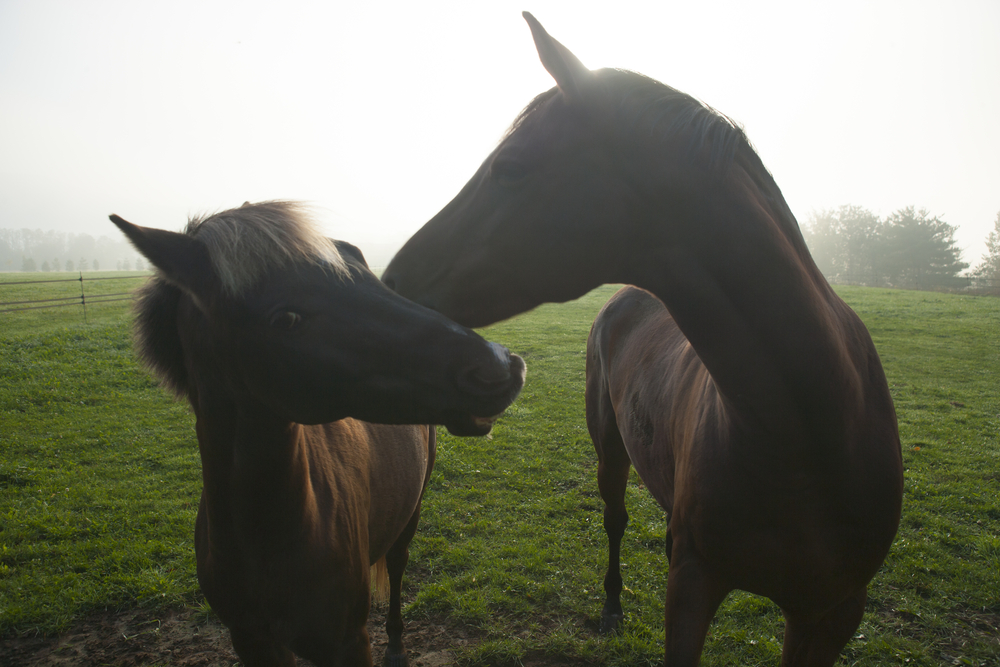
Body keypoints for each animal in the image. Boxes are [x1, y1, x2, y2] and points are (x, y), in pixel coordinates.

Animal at [113, 202, 528, 667]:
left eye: (368, 279)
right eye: (286, 318)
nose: (499, 366)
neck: (267, 536)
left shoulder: (347, 641)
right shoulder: (252, 641)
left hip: (410, 517)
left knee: (397, 568)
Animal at [378, 14, 904, 667]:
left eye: (511, 166)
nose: (391, 283)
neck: (809, 433)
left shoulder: (830, 613)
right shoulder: (693, 583)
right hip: (609, 448)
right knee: (616, 519)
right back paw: (611, 606)